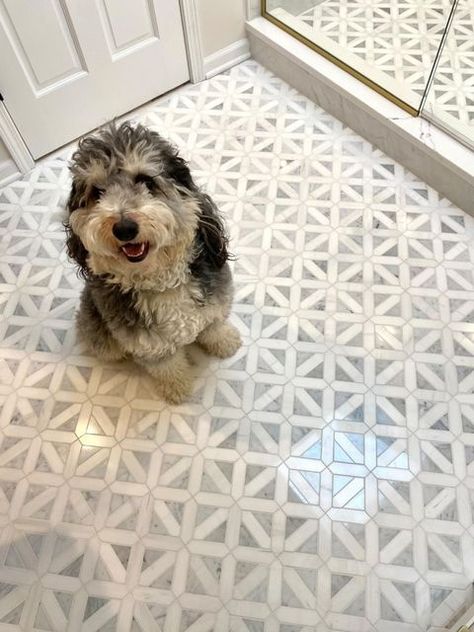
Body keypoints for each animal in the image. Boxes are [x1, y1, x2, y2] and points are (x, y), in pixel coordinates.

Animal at [64, 121, 241, 402]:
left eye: (146, 180)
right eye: (97, 192)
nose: (124, 228)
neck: (161, 282)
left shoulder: (215, 304)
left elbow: (213, 327)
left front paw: (226, 343)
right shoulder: (149, 345)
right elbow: (167, 367)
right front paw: (178, 389)